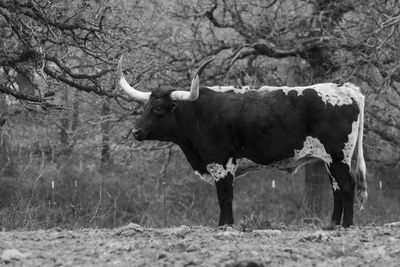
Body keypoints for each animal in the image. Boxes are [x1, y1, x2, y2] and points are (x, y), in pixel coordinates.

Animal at [117, 56, 368, 228]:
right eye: (146, 107)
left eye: (159, 109)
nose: (136, 131)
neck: (197, 114)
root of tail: (346, 89)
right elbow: (226, 197)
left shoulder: (221, 164)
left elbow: (224, 197)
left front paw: (224, 226)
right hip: (329, 159)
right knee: (336, 188)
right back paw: (331, 225)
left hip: (338, 156)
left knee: (347, 186)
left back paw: (346, 226)